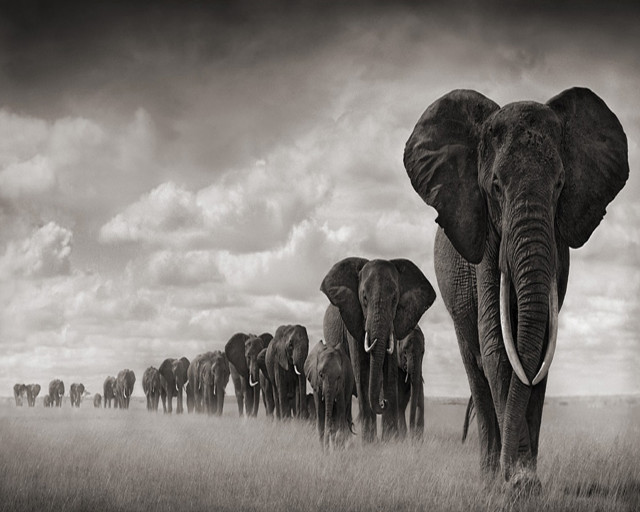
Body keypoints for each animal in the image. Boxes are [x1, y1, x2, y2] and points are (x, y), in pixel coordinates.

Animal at [321, 259, 436, 442]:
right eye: (364, 298)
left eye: (395, 299)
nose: (384, 402)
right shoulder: (353, 318)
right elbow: (362, 371)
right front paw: (370, 443)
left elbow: (390, 370)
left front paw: (391, 441)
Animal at [403, 87, 628, 487]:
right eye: (495, 187)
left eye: (560, 185)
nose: (513, 475)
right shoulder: (484, 240)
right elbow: (497, 346)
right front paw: (514, 484)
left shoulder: (558, 243)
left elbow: (539, 349)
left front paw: (527, 480)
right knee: (475, 364)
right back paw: (488, 475)